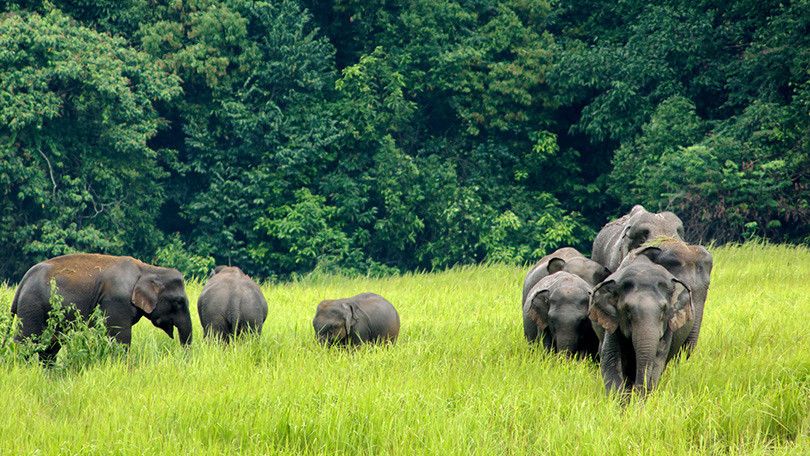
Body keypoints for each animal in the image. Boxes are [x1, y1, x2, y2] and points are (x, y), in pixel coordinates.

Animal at [11, 251, 192, 362]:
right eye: (179, 301)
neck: (147, 269)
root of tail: (23, 280)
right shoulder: (117, 302)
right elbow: (121, 338)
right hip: (32, 306)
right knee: (26, 341)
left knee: (50, 345)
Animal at [584, 255, 692, 398]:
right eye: (628, 311)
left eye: (664, 310)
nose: (638, 391)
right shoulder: (613, 322)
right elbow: (611, 360)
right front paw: (621, 401)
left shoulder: (669, 326)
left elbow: (657, 362)